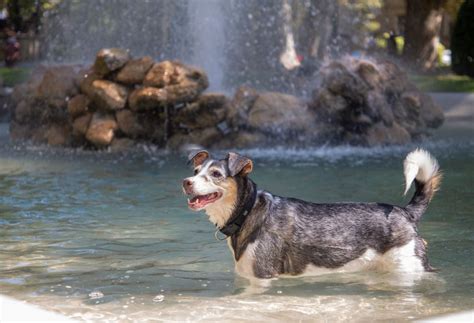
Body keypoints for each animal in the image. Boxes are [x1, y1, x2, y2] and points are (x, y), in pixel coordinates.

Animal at [182, 149, 440, 284]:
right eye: (195, 172)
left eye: (216, 174)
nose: (186, 182)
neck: (248, 211)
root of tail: (405, 211)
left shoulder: (263, 277)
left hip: (409, 266)